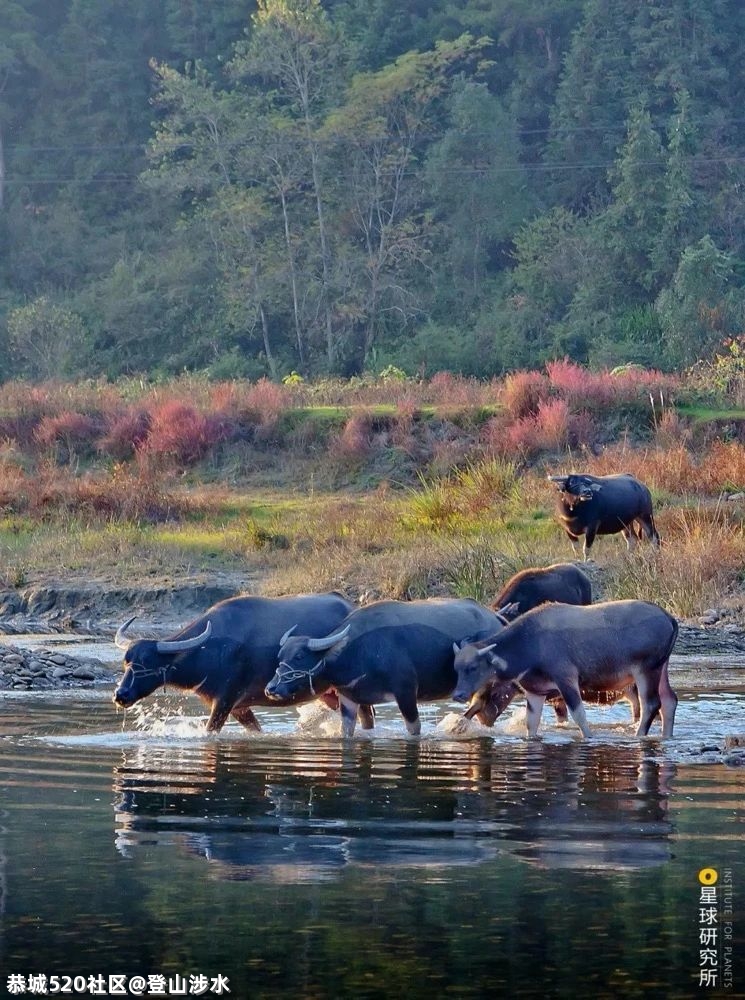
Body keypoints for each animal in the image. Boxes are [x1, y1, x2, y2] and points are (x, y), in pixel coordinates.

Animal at [112, 588, 364, 732]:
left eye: (147, 662)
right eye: (127, 661)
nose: (121, 695)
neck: (209, 650)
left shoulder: (225, 701)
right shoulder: (239, 708)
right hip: (327, 694)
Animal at [264, 596, 506, 740]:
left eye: (299, 656)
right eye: (280, 656)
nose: (271, 689)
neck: (357, 652)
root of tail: (495, 617)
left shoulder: (406, 693)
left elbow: (414, 730)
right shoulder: (349, 699)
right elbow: (347, 731)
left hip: (484, 680)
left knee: (479, 704)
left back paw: (456, 725)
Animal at [450, 596, 676, 740]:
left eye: (472, 667)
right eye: (456, 668)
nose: (458, 694)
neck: (529, 646)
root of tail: (668, 617)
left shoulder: (566, 679)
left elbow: (579, 715)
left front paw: (589, 737)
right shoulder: (535, 691)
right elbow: (531, 723)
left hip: (646, 669)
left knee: (651, 704)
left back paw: (639, 735)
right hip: (661, 667)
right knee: (669, 701)